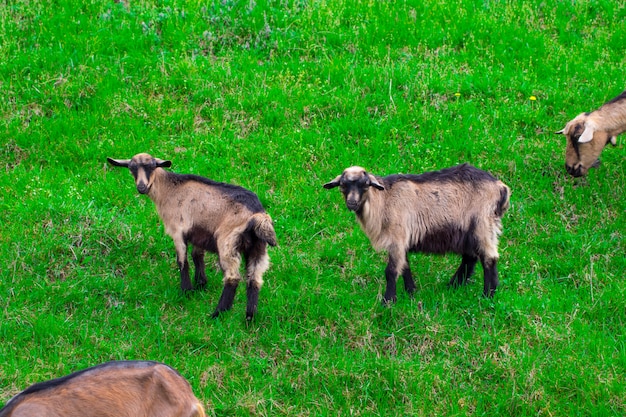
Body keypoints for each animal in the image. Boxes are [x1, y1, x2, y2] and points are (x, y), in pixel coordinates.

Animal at [107, 153, 276, 318]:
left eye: (152, 167)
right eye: (131, 168)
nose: (141, 187)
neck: (168, 190)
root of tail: (258, 215)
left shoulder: (177, 231)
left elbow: (182, 261)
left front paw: (186, 291)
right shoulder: (198, 234)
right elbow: (197, 256)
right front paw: (201, 284)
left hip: (228, 243)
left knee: (232, 278)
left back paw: (218, 313)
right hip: (258, 248)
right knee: (254, 280)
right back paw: (249, 317)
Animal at [324, 163, 510, 302]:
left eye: (365, 185)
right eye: (343, 185)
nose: (352, 203)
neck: (383, 201)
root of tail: (501, 187)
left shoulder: (397, 237)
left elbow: (391, 271)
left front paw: (388, 301)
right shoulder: (402, 240)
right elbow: (405, 266)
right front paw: (411, 292)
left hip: (483, 224)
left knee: (489, 258)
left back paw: (487, 296)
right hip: (467, 231)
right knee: (470, 258)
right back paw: (453, 286)